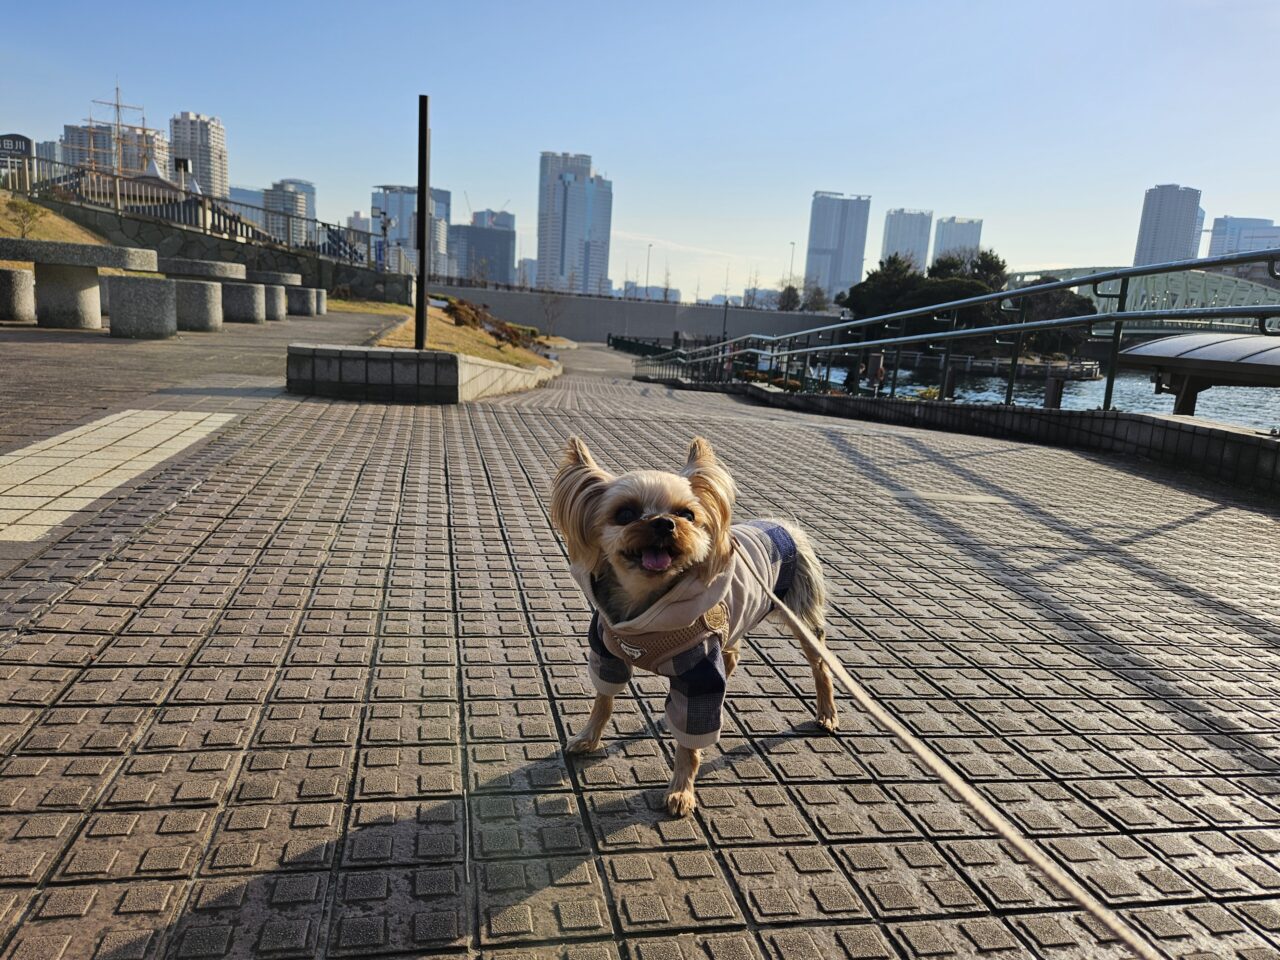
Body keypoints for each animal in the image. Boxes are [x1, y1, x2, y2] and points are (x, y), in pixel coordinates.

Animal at [550, 437, 839, 819]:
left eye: (687, 515)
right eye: (625, 514)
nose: (664, 524)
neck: (647, 607)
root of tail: (784, 525)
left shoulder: (699, 669)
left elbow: (689, 743)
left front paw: (680, 792)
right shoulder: (607, 648)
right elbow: (604, 701)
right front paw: (587, 739)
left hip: (801, 614)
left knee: (820, 664)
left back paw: (827, 714)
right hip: (733, 621)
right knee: (732, 654)